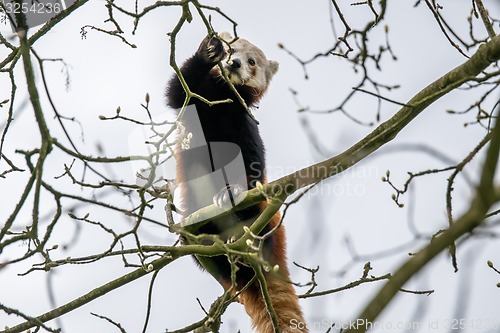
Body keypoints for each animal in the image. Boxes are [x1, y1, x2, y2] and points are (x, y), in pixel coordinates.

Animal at [168, 31, 306, 332]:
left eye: (252, 62)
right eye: (232, 50)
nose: (234, 63)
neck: (220, 99)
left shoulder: (244, 123)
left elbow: (252, 161)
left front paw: (233, 190)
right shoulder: (193, 101)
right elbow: (176, 91)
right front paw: (207, 52)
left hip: (267, 219)